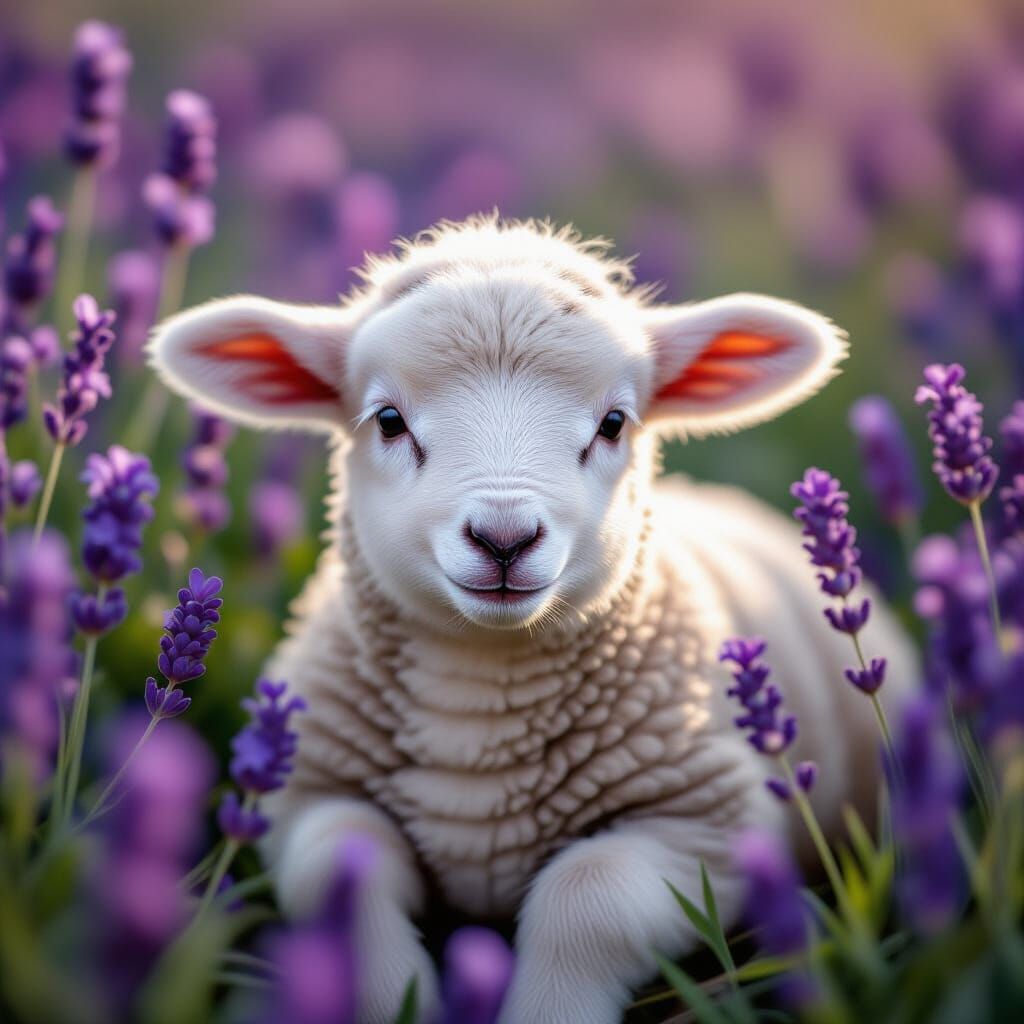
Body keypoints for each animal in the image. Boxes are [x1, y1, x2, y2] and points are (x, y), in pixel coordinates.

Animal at [150, 216, 917, 1024]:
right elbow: (343, 875)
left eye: (613, 423)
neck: (479, 701)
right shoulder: (307, 799)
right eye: (389, 421)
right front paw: (400, 1000)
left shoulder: (710, 825)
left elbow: (588, 896)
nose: (504, 538)